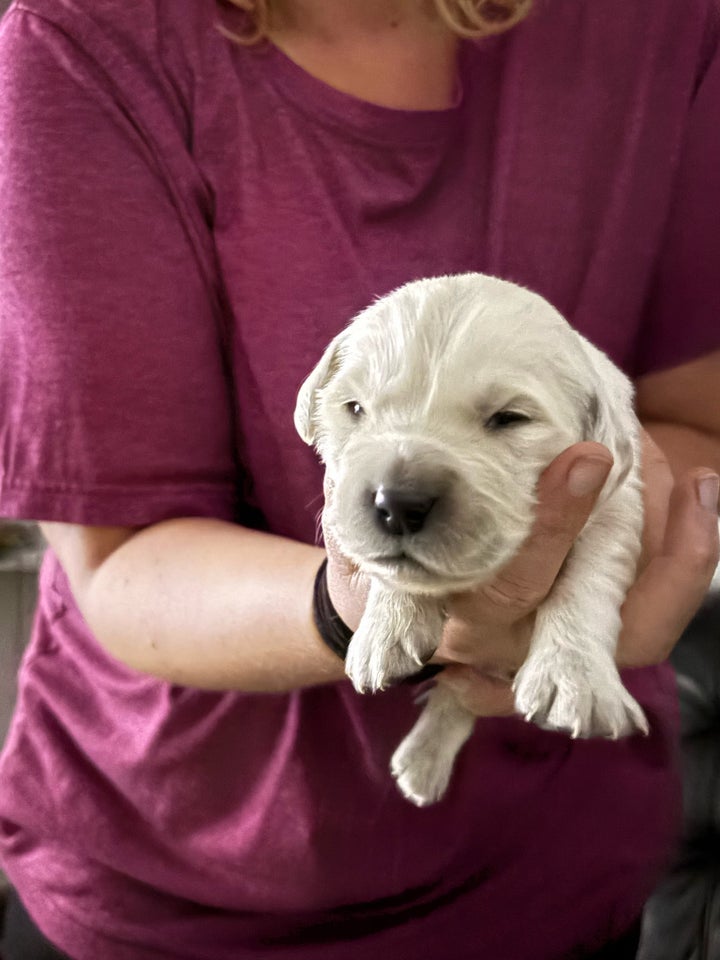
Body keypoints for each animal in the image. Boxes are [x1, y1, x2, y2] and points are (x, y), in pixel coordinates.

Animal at [292, 274, 648, 808]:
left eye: (510, 418)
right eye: (355, 408)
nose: (398, 503)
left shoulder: (615, 499)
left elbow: (587, 578)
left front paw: (574, 675)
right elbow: (398, 573)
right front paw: (389, 625)